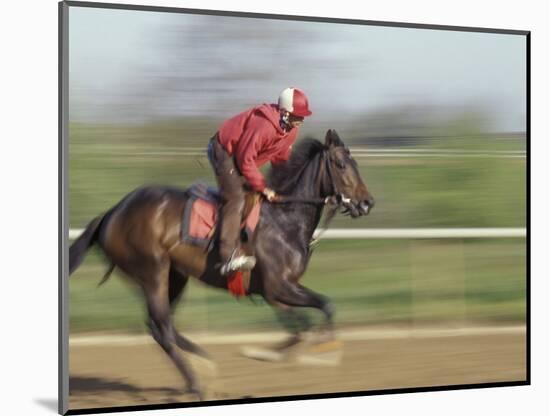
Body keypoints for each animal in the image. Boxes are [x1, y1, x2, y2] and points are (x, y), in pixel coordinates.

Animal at [69, 129, 376, 400]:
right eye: (341, 165)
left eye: (356, 163)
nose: (367, 202)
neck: (285, 219)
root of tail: (112, 212)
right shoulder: (279, 287)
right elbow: (320, 311)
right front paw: (320, 354)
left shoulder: (275, 293)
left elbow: (304, 324)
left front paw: (275, 352)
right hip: (152, 271)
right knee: (163, 328)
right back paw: (197, 383)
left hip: (175, 276)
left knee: (159, 326)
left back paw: (204, 364)